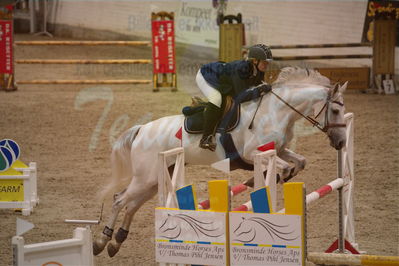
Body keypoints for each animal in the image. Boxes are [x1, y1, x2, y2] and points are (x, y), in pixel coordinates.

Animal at [93, 67, 346, 256]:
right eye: (334, 110)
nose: (342, 142)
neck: (277, 111)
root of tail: (141, 129)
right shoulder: (253, 153)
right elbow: (283, 168)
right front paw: (263, 179)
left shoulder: (280, 150)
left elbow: (300, 162)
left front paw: (265, 179)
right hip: (146, 177)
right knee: (119, 200)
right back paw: (101, 242)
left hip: (156, 178)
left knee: (132, 205)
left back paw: (116, 242)